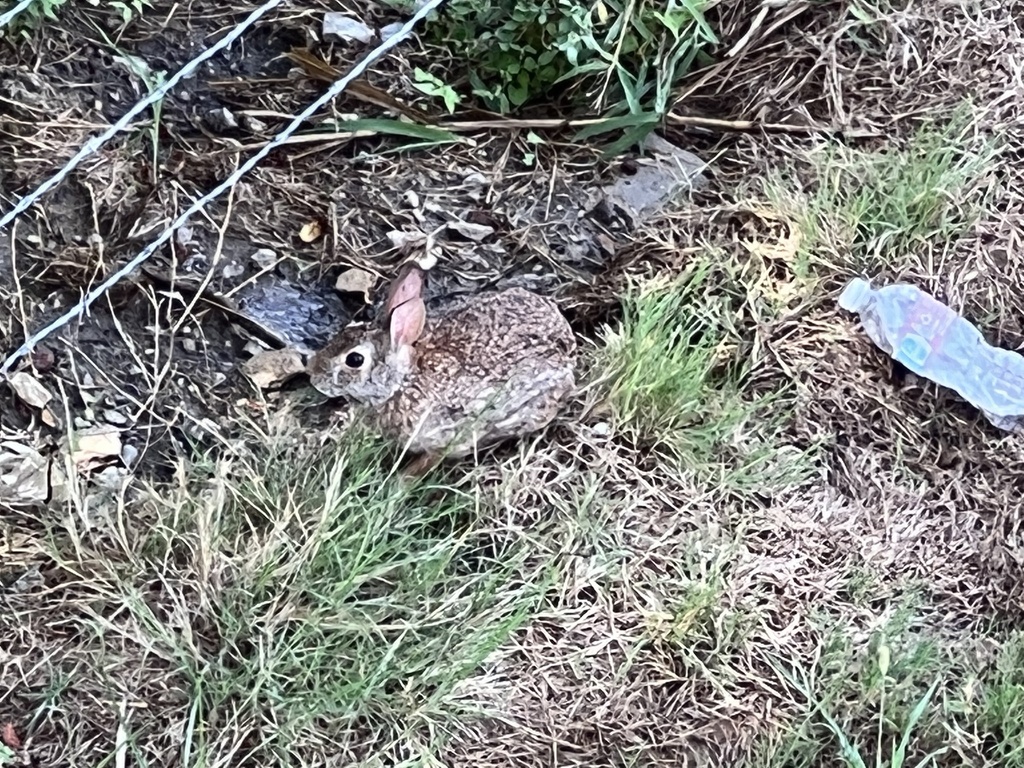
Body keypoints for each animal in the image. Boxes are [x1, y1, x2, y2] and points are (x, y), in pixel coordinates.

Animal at [306, 264, 577, 473]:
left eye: (354, 360)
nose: (312, 375)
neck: (402, 380)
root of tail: (567, 343)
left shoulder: (444, 438)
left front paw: (401, 482)